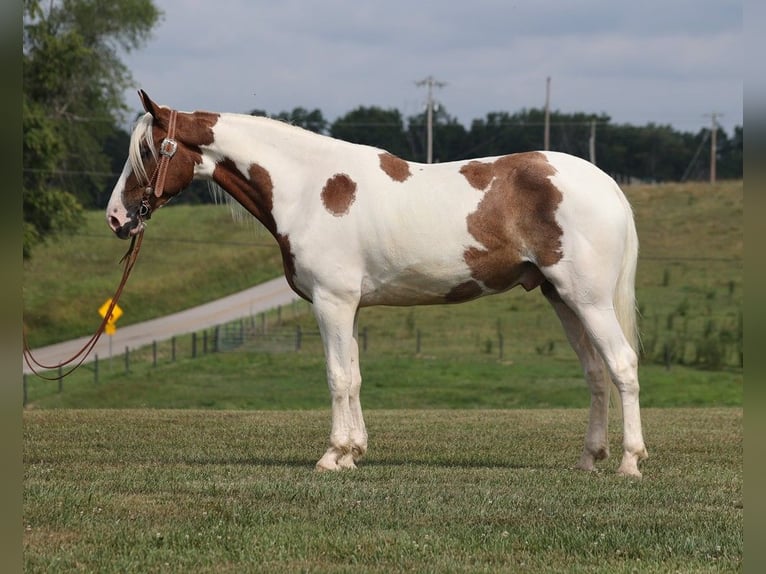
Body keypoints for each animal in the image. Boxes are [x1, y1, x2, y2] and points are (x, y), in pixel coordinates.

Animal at [106, 90, 648, 476]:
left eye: (149, 151)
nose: (116, 217)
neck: (309, 188)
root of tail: (608, 185)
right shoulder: (350, 306)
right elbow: (355, 376)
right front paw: (353, 452)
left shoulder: (331, 302)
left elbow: (336, 377)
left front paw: (332, 455)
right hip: (563, 300)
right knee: (596, 373)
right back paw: (588, 459)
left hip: (588, 300)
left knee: (622, 365)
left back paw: (629, 462)